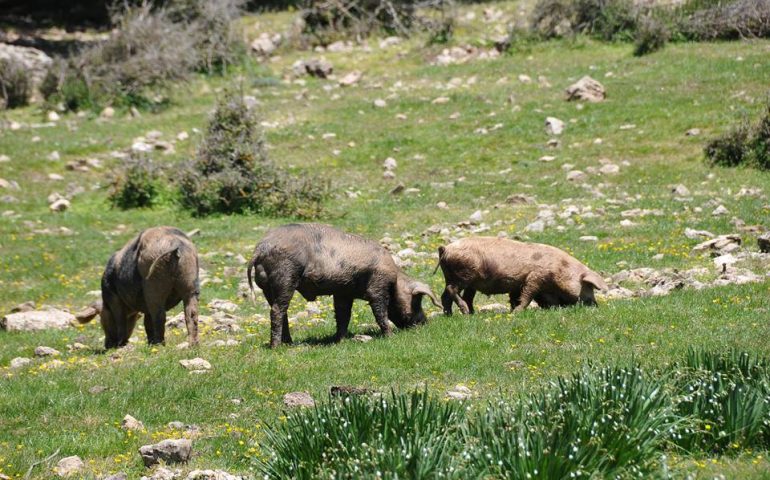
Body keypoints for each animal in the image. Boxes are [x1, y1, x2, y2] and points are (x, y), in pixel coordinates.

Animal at [438, 237, 608, 316]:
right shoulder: (535, 277)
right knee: (452, 290)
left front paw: (513, 310)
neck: (560, 269)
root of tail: (445, 248)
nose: (595, 305)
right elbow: (527, 294)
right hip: (462, 275)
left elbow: (516, 297)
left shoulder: (518, 284)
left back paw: (456, 315)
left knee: (448, 296)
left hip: (462, 279)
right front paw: (517, 312)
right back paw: (465, 312)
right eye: (588, 287)